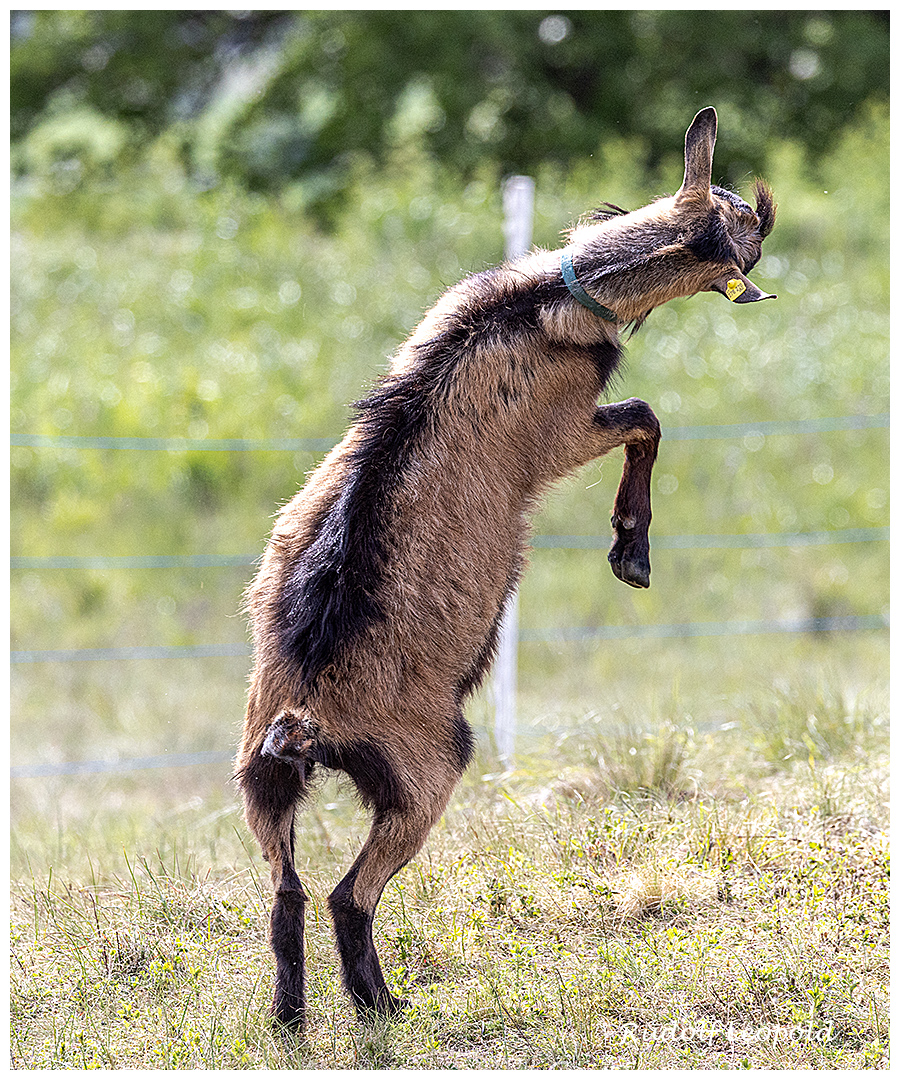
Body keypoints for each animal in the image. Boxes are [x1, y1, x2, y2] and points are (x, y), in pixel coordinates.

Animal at [235, 109, 777, 1028]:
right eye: (740, 214)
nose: (768, 234)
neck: (544, 300)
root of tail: (303, 715)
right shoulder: (562, 432)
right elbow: (645, 417)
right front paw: (630, 553)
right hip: (428, 761)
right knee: (349, 893)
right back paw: (382, 1008)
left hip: (257, 777)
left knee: (287, 894)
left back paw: (292, 1018)